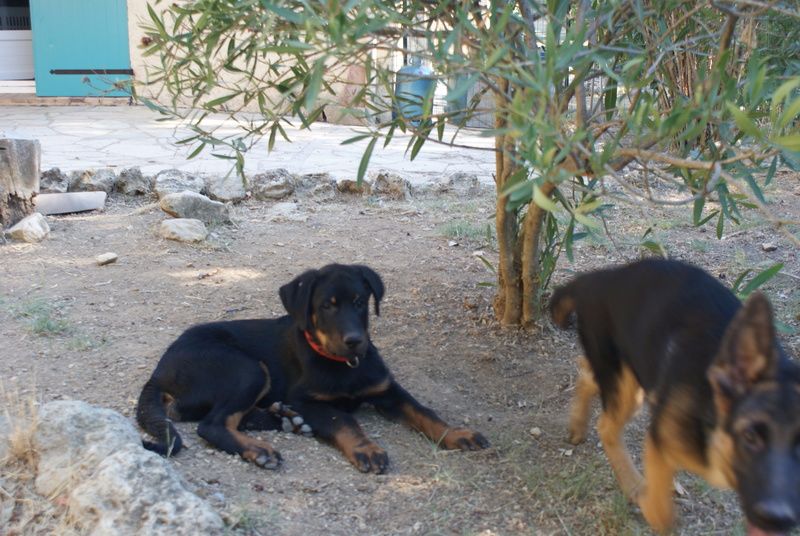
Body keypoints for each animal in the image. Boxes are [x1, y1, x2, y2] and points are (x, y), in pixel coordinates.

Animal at [137, 264, 488, 474]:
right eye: (326, 306)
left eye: (360, 302)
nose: (355, 341)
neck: (344, 364)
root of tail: (158, 372)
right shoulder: (306, 399)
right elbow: (343, 420)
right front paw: (366, 448)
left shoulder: (387, 389)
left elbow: (424, 412)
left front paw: (457, 434)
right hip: (247, 369)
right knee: (210, 424)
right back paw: (260, 448)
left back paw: (286, 420)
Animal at [552, 258, 800, 532]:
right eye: (750, 436)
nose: (776, 520)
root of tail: (600, 278)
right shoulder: (660, 441)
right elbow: (661, 513)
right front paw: (647, 499)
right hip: (625, 382)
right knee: (607, 427)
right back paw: (633, 483)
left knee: (587, 373)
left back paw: (578, 424)